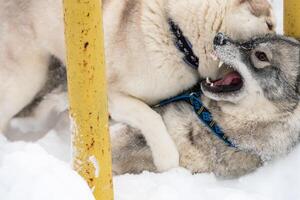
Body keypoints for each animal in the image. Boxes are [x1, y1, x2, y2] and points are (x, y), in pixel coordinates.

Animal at [0, 0, 274, 172]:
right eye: (269, 25)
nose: (279, 42)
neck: (177, 38)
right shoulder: (112, 95)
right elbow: (150, 117)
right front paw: (166, 159)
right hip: (27, 78)